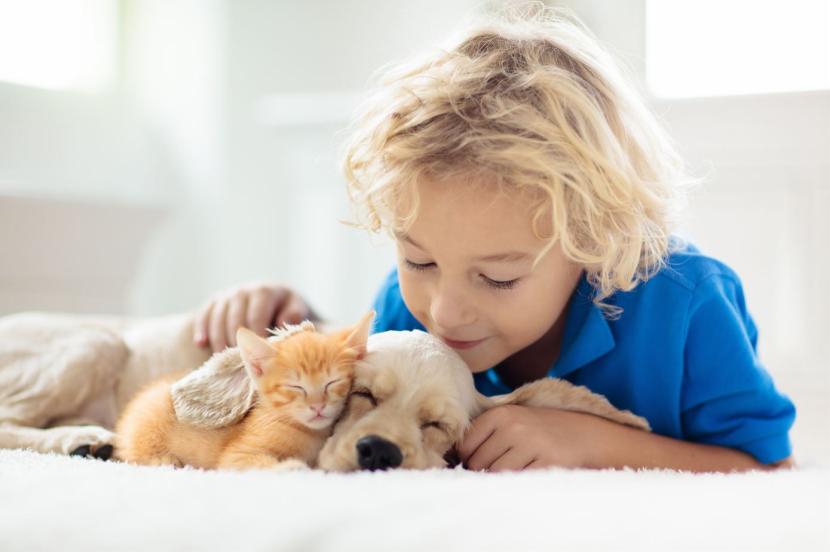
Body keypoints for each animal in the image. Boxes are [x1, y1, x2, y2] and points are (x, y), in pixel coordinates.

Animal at [112, 310, 372, 470]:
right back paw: (162, 459)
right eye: (295, 386)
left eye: (332, 382)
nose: (318, 407)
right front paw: (292, 466)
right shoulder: (236, 456)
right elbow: (259, 463)